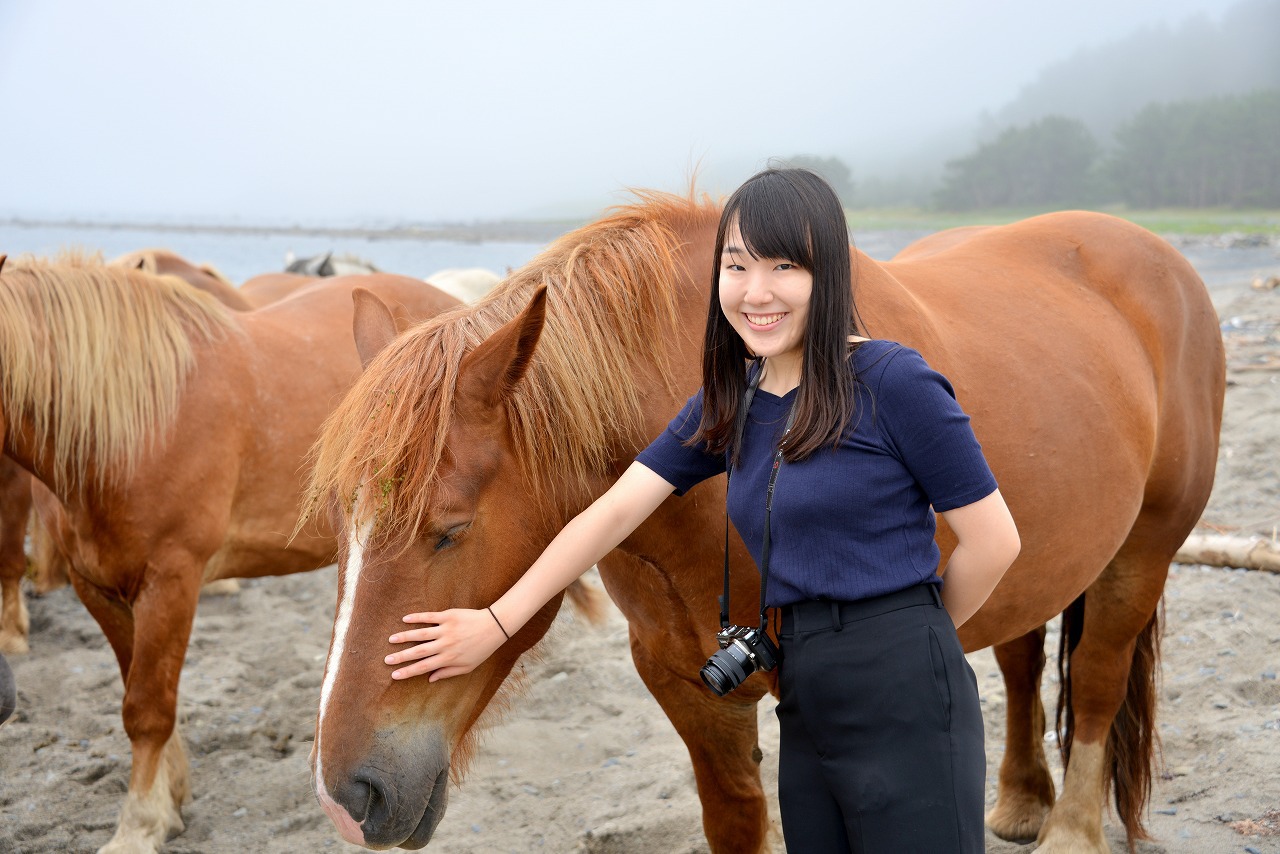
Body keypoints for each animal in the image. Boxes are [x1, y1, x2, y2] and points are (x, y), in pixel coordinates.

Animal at [0, 256, 460, 854]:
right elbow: (137, 694)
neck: (134, 421)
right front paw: (168, 802)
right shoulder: (97, 586)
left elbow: (148, 710)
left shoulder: (172, 580)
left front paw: (138, 826)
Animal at [304, 195, 1223, 854]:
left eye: (449, 530)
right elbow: (737, 821)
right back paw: (1022, 803)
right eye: (340, 532)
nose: (348, 798)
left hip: (1143, 551)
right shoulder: (685, 683)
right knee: (1025, 657)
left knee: (1098, 679)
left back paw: (1070, 833)